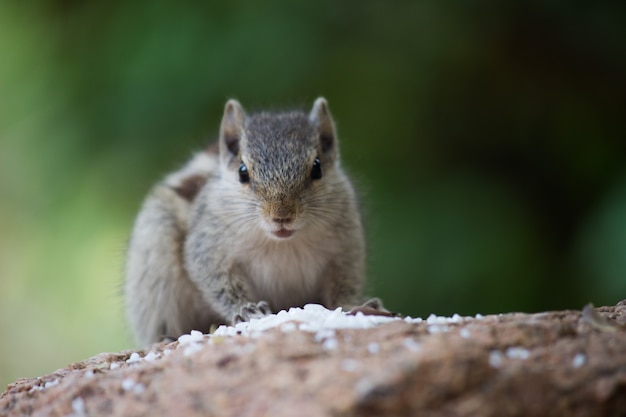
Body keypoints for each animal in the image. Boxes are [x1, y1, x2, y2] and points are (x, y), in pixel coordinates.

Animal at [124, 97, 382, 344]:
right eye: (242, 172)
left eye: (317, 168)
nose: (281, 215)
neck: (282, 244)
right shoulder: (208, 247)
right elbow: (218, 281)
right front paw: (247, 310)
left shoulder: (347, 249)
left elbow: (345, 282)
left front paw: (354, 305)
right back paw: (168, 336)